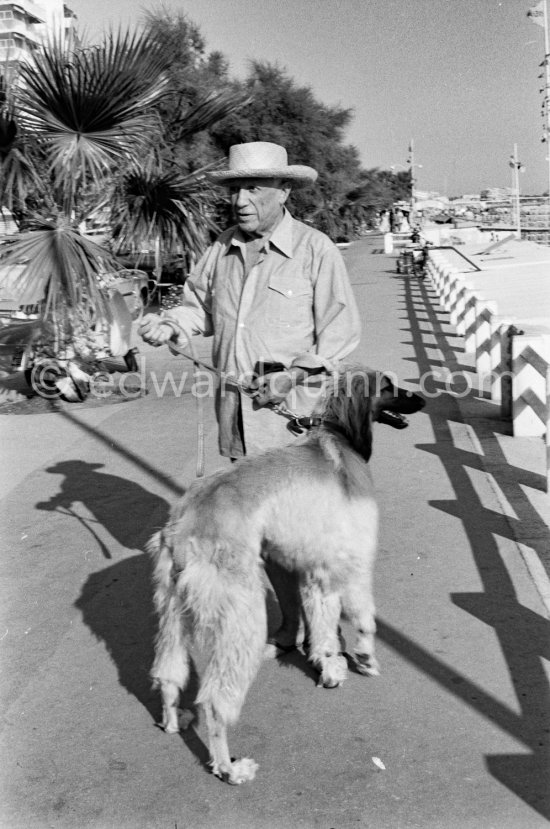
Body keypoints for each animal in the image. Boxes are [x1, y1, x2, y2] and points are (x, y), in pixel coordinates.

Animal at [150, 368, 426, 784]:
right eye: (389, 387)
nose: (424, 399)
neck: (338, 436)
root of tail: (182, 529)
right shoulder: (349, 557)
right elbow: (361, 616)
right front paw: (360, 659)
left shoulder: (314, 567)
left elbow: (321, 622)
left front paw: (328, 663)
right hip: (240, 614)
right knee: (214, 702)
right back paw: (228, 768)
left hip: (173, 611)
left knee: (168, 673)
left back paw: (172, 720)